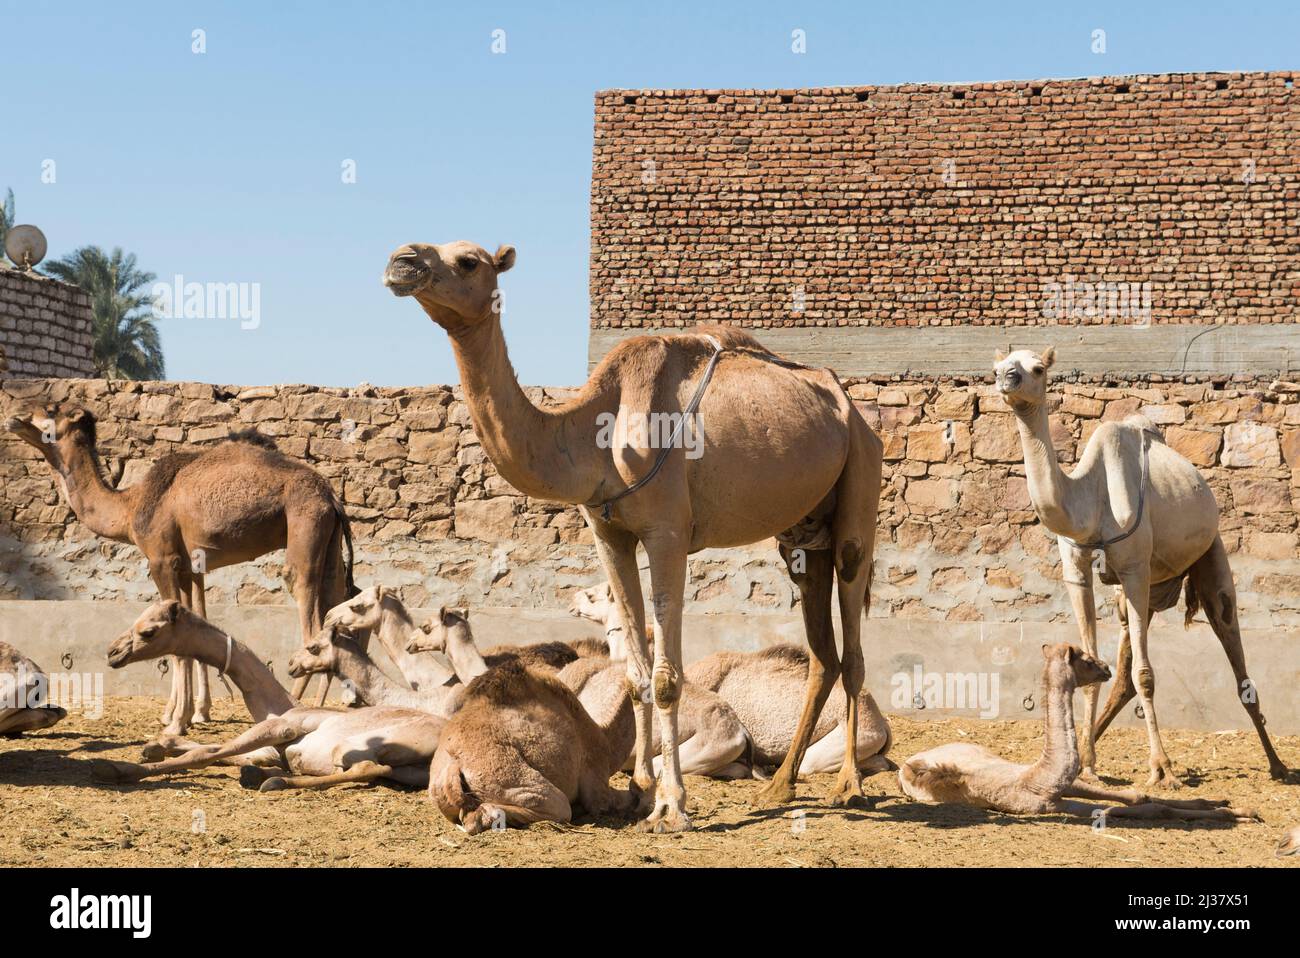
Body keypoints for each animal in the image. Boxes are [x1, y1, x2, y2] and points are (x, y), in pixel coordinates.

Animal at [4, 403, 356, 735]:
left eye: (50, 409)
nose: (13, 417)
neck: (131, 507)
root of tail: (331, 497)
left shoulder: (162, 560)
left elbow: (175, 642)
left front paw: (177, 721)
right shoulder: (187, 567)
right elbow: (193, 624)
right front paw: (187, 713)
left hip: (303, 526)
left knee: (307, 613)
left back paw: (299, 709)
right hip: (330, 544)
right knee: (334, 606)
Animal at [90, 600, 444, 791]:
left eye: (149, 630)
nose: (112, 653)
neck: (276, 704)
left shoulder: (283, 727)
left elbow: (206, 752)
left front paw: (116, 768)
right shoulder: (274, 746)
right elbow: (222, 750)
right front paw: (153, 746)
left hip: (353, 746)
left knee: (370, 767)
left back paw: (272, 782)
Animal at [429, 657, 639, 833]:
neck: (605, 737)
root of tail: (454, 766)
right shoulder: (597, 784)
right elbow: (620, 799)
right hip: (511, 779)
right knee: (557, 806)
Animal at [900, 643, 1259, 824]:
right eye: (1085, 659)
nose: (1107, 668)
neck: (1037, 777)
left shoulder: (1066, 785)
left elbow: (1137, 795)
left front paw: (1226, 802)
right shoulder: (1049, 806)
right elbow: (1149, 807)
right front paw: (1241, 812)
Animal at [995, 349, 1286, 785]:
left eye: (1038, 368)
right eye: (998, 367)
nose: (1007, 379)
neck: (1089, 499)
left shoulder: (1134, 569)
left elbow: (1146, 675)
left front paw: (1161, 768)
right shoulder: (1077, 572)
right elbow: (1093, 665)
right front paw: (1087, 766)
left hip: (1207, 556)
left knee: (1231, 644)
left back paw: (1278, 764)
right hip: (1142, 594)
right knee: (1123, 671)